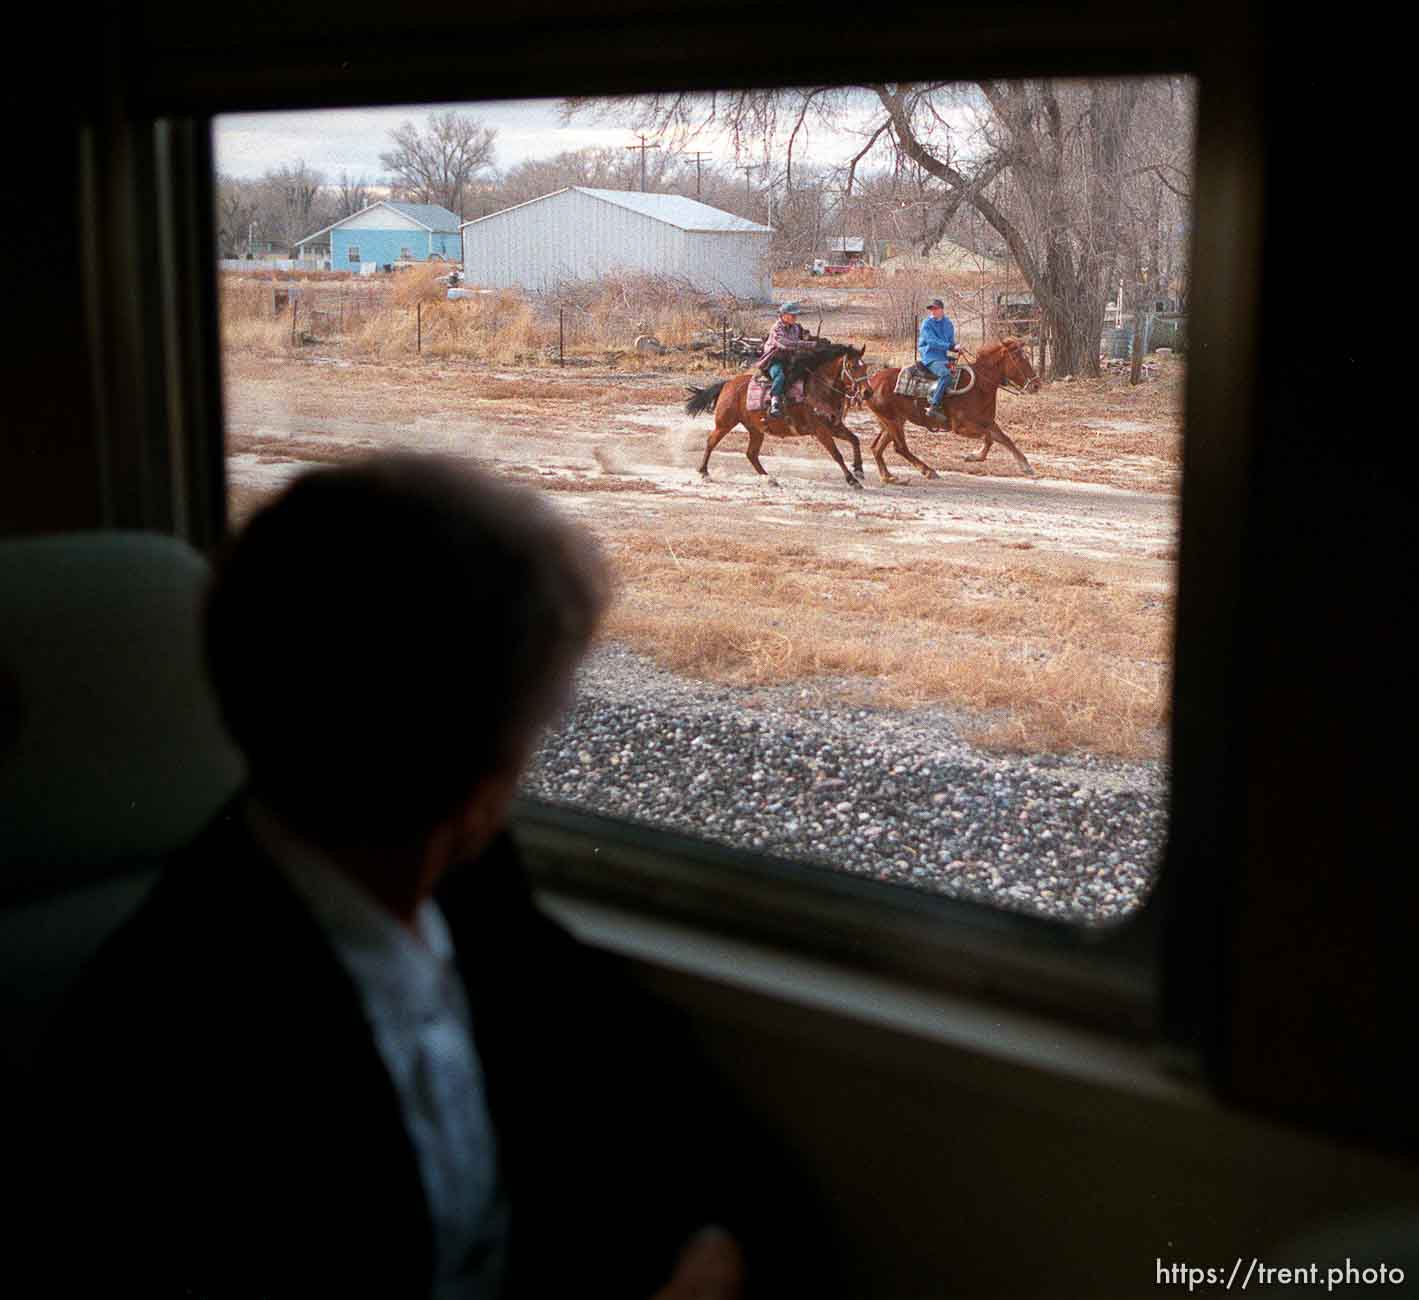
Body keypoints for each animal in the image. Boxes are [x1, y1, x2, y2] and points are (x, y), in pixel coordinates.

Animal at [683, 343, 868, 491]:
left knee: (751, 454)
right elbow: (837, 454)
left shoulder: (834, 426)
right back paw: (704, 473)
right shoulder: (821, 431)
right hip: (724, 424)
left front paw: (859, 469)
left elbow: (855, 439)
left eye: (865, 367)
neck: (818, 390)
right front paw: (852, 480)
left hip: (756, 430)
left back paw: (770, 479)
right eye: (852, 366)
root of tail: (727, 384)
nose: (867, 392)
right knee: (711, 442)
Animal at [851, 334, 1044, 482]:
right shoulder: (961, 427)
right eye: (1019, 358)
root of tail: (870, 381)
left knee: (877, 448)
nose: (1036, 385)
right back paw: (928, 471)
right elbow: (989, 438)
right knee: (901, 448)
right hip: (892, 421)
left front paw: (1026, 466)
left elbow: (1005, 439)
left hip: (892, 420)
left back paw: (888, 476)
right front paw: (973, 456)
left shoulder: (988, 422)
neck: (980, 386)